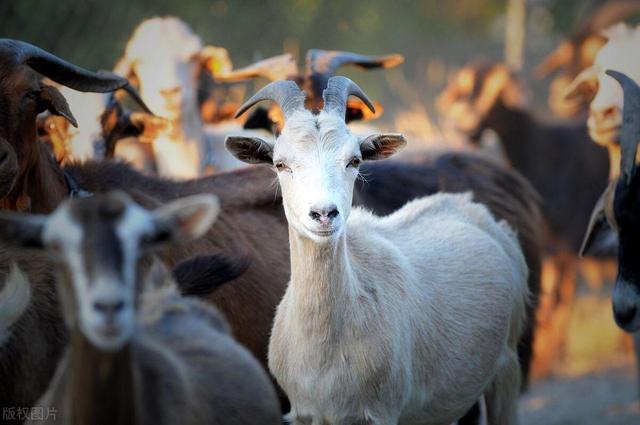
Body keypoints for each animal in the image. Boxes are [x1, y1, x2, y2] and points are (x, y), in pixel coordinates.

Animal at [228, 77, 528, 424]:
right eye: (280, 163)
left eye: (354, 161)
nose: (324, 214)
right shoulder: (304, 413)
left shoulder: (381, 412)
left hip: (507, 368)